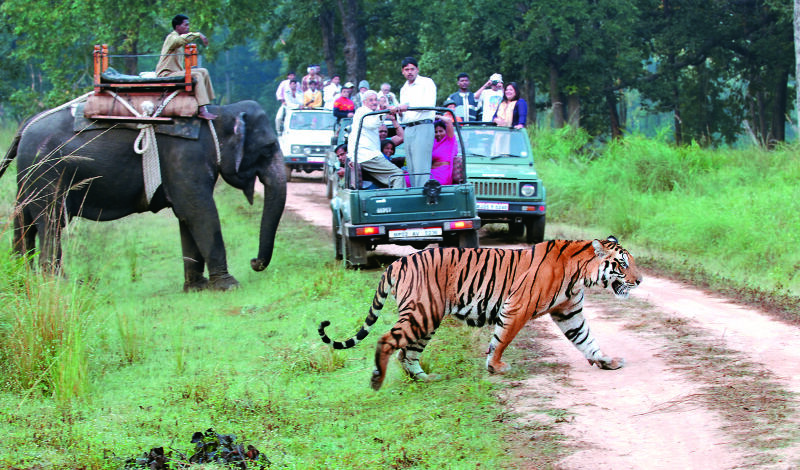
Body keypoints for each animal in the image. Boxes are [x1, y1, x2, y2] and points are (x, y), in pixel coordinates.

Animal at [0, 100, 288, 290]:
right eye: (268, 147)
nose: (254, 262)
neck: (219, 113)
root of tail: (25, 126)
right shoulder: (186, 156)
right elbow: (199, 211)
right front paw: (229, 286)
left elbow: (186, 216)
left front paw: (197, 287)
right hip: (48, 171)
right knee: (51, 220)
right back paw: (60, 285)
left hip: (29, 176)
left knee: (24, 221)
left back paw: (24, 278)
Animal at [318, 237, 644, 392]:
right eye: (622, 264)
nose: (640, 281)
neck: (580, 274)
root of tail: (398, 262)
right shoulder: (517, 307)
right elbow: (501, 339)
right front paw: (495, 367)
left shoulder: (569, 313)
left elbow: (586, 339)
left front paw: (606, 361)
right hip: (422, 313)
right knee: (387, 341)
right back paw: (377, 379)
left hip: (427, 318)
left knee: (406, 353)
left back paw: (426, 379)